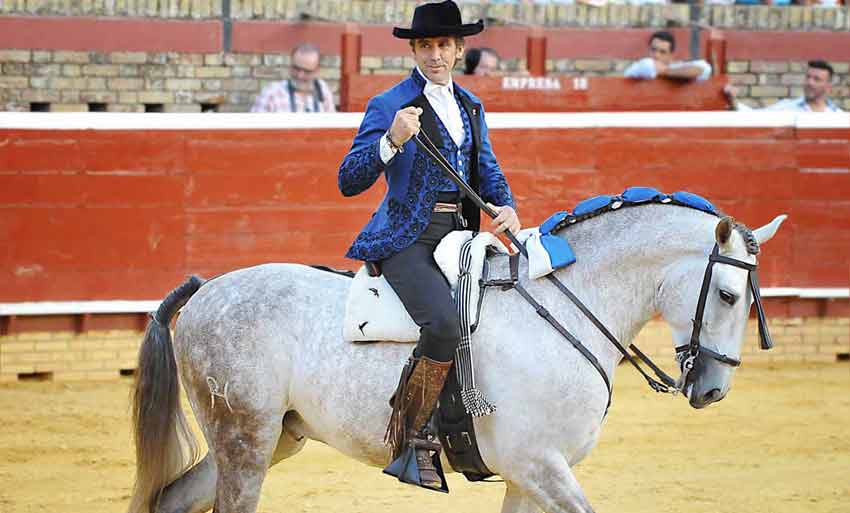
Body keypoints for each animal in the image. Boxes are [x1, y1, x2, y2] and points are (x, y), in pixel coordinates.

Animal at [126, 204, 780, 512]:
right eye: (728, 294)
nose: (714, 389)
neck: (563, 309)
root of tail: (206, 291)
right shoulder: (539, 464)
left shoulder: (527, 474)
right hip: (246, 437)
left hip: (272, 437)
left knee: (173, 497)